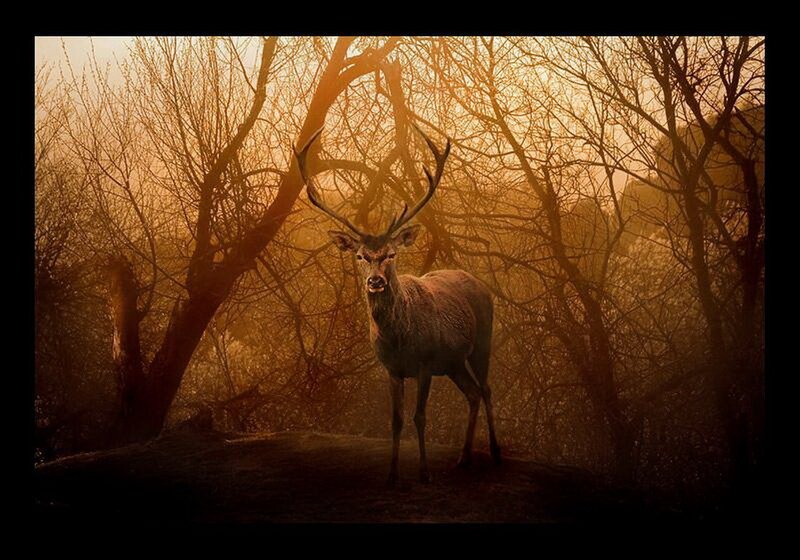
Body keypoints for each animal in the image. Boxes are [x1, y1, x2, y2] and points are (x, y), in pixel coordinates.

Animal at [293, 125, 500, 485]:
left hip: (482, 341)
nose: (375, 281)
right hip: (454, 362)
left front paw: (424, 473)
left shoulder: (425, 363)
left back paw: (497, 453)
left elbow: (420, 416)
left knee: (486, 389)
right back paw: (463, 458)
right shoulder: (392, 369)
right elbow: (396, 420)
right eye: (360, 256)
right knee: (473, 393)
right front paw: (391, 475)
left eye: (391, 254)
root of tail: (477, 281)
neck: (400, 339)